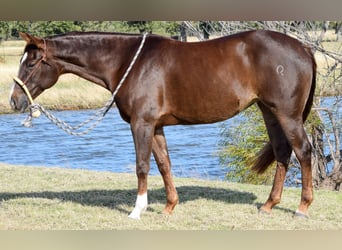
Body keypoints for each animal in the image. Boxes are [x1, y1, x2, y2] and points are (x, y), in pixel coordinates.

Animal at [10, 30, 316, 219]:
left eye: (32, 63)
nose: (14, 101)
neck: (127, 63)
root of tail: (303, 47)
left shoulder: (141, 124)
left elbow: (142, 166)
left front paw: (137, 210)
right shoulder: (156, 126)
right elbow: (164, 164)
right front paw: (169, 207)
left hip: (287, 114)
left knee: (303, 151)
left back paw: (302, 207)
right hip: (269, 111)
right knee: (282, 152)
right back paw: (268, 205)